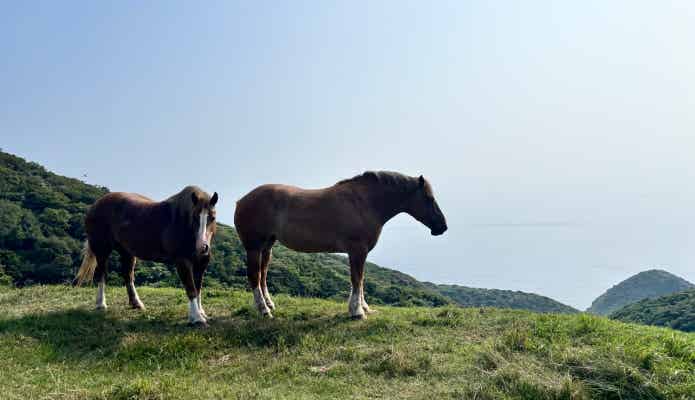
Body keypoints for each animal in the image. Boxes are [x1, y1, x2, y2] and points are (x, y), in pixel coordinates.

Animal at [75, 186, 218, 325]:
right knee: (102, 274)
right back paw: (101, 304)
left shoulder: (201, 263)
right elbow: (191, 288)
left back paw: (136, 303)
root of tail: (95, 205)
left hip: (126, 252)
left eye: (212, 218)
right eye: (194, 217)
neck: (183, 223)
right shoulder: (182, 262)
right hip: (101, 249)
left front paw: (201, 312)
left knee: (127, 275)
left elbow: (198, 289)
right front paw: (197, 318)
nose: (202, 247)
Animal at [234, 171, 447, 319]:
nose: (442, 226)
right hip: (253, 247)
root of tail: (241, 201)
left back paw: (269, 304)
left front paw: (364, 308)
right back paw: (263, 310)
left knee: (263, 275)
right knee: (254, 276)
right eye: (429, 198)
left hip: (267, 246)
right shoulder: (357, 250)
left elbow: (360, 280)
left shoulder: (359, 252)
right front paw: (357, 311)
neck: (364, 202)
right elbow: (357, 279)